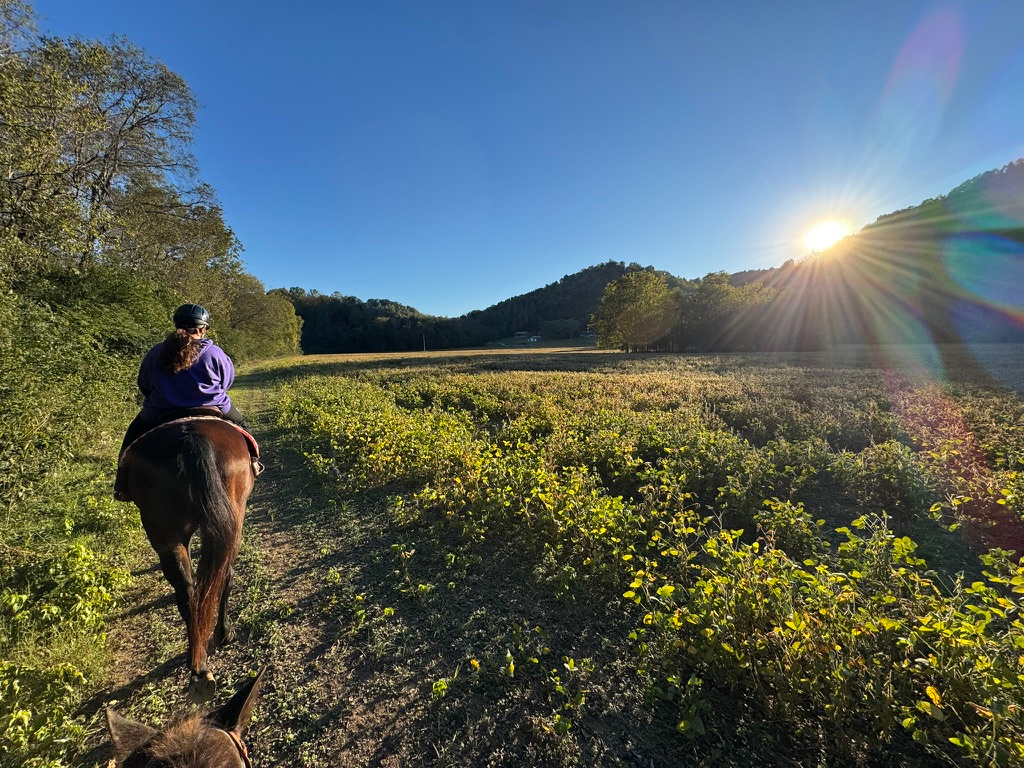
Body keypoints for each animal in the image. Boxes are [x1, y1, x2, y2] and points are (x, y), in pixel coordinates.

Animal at [121, 415, 255, 700]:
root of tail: (192, 440)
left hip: (167, 534)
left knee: (191, 588)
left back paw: (203, 659)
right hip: (230, 519)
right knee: (214, 579)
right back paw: (210, 650)